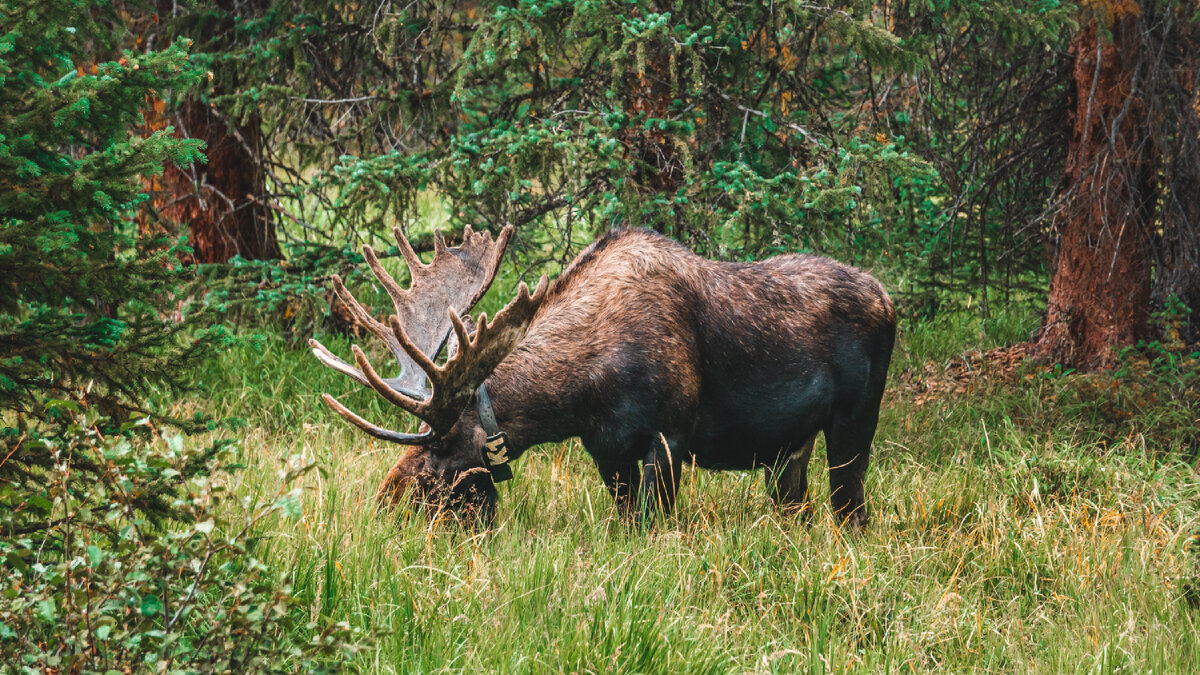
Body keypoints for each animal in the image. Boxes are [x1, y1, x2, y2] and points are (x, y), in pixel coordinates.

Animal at [309, 223, 892, 523]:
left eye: (436, 462)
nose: (384, 505)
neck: (573, 397)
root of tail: (888, 298)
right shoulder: (607, 450)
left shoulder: (670, 436)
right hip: (789, 450)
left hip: (855, 425)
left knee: (852, 511)